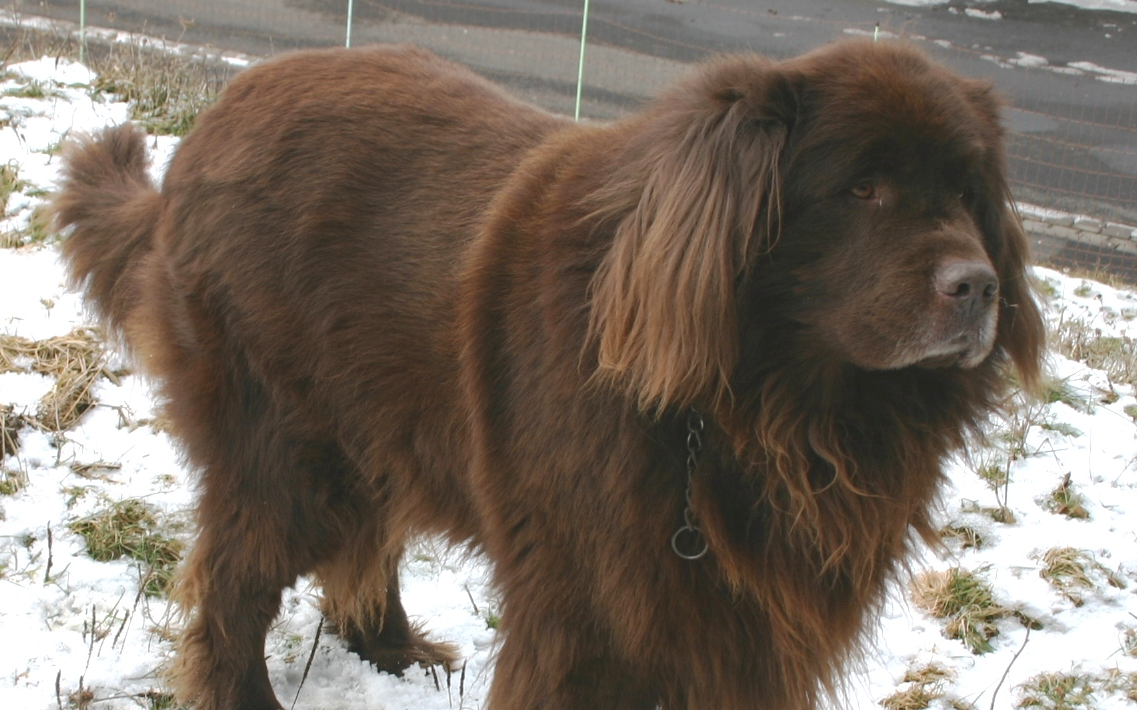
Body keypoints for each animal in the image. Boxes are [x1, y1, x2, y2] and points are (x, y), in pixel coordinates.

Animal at [57, 42, 1041, 710]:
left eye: (967, 193)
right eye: (861, 190)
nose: (977, 287)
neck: (755, 408)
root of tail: (214, 120)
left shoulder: (748, 622)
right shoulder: (585, 604)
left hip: (375, 419)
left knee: (364, 543)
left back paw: (396, 653)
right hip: (286, 446)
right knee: (235, 581)